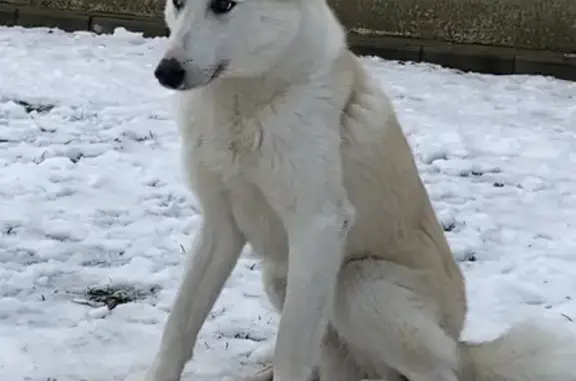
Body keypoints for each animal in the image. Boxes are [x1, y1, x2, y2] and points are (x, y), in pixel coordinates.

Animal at [132, 0, 576, 378]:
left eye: (223, 5)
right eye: (177, 2)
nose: (165, 72)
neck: (244, 103)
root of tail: (459, 341)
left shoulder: (318, 226)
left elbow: (291, 348)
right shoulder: (221, 226)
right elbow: (179, 325)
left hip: (357, 284)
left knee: (442, 371)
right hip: (282, 276)